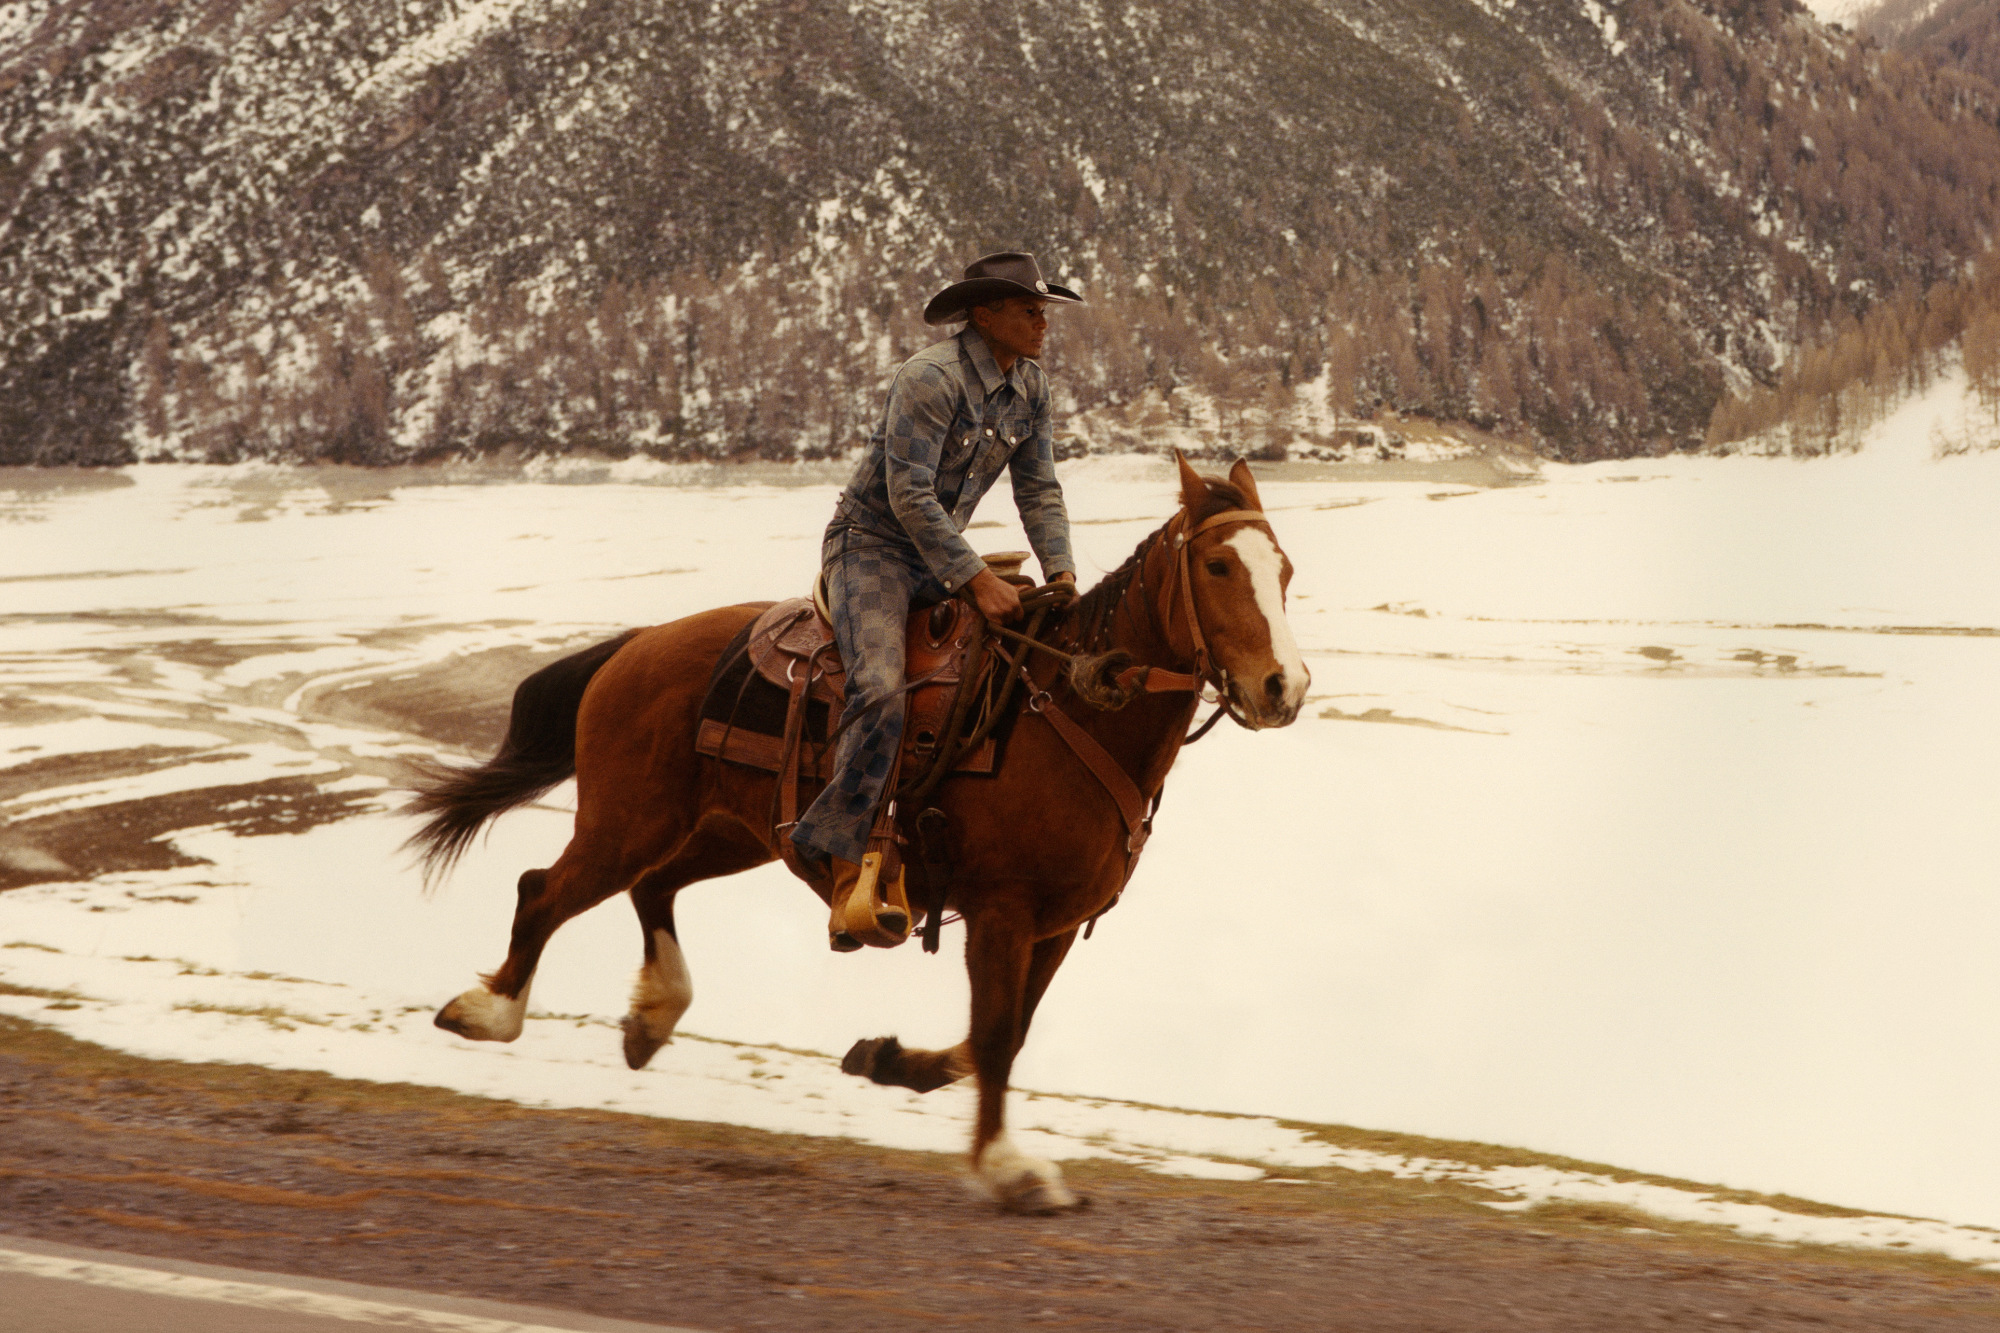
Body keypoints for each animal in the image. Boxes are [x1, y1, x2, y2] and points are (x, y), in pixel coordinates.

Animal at [406, 452, 1312, 1208]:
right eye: (1218, 565)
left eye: (1286, 570)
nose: (1284, 686)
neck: (1067, 709)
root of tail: (638, 646)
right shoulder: (1003, 912)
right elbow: (993, 1035)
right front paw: (1007, 1169)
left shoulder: (1053, 925)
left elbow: (1000, 1036)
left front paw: (887, 1059)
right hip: (626, 821)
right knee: (545, 891)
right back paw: (486, 1012)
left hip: (734, 833)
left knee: (651, 886)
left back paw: (651, 1016)